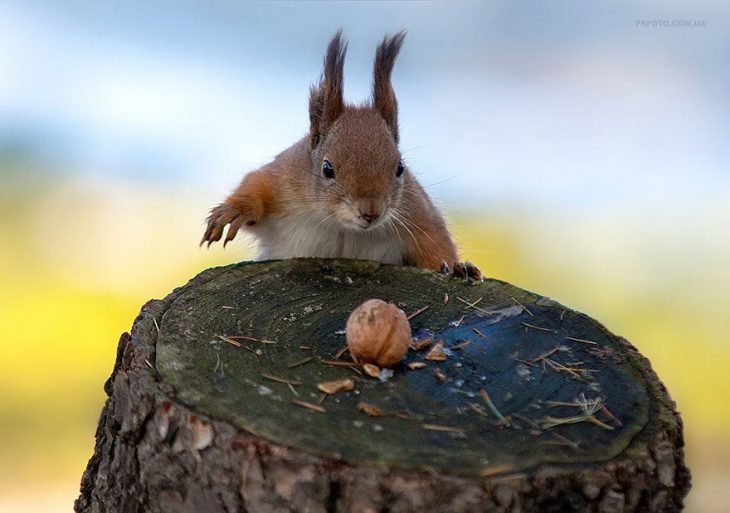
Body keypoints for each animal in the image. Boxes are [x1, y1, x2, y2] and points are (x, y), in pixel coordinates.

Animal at [202, 31, 480, 280]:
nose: (371, 212)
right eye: (327, 169)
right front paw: (235, 211)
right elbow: (256, 184)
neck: (340, 225)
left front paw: (459, 267)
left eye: (400, 167)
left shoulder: (416, 213)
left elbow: (436, 242)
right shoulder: (284, 179)